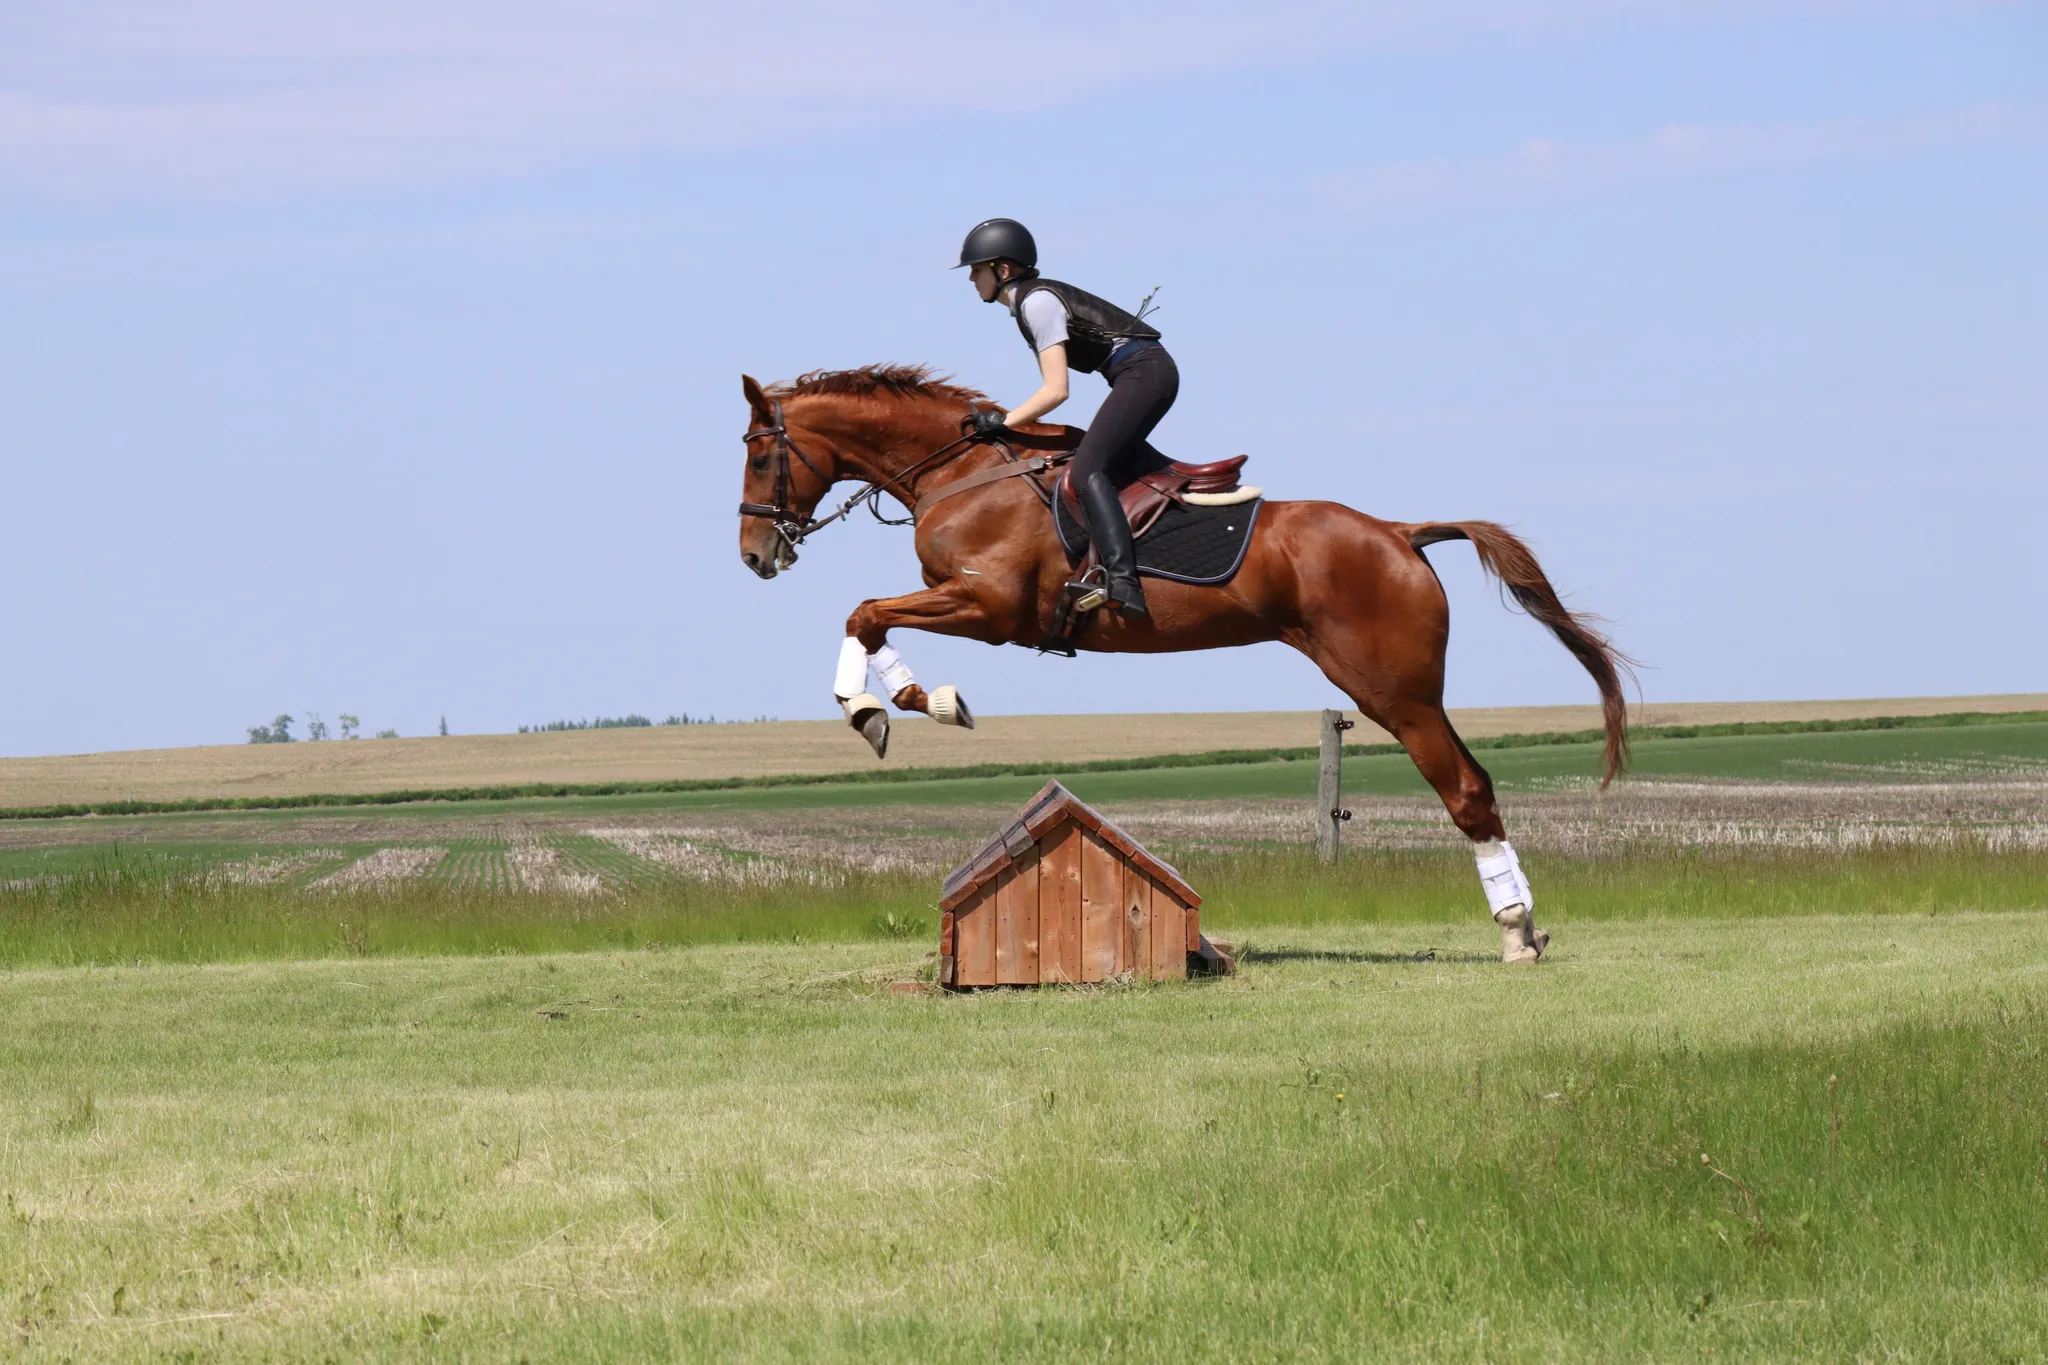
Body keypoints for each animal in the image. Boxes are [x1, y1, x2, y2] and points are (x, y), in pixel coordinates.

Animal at [735, 365, 1630, 963]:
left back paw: (1515, 934)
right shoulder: (972, 605)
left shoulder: (989, 609)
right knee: (1476, 781)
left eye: (756, 455)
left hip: (1392, 690)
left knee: (1465, 790)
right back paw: (1525, 925)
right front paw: (902, 702)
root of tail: (1399, 532)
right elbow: (865, 616)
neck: (965, 472)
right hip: (1406, 689)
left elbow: (864, 612)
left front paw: (891, 706)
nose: (754, 554)